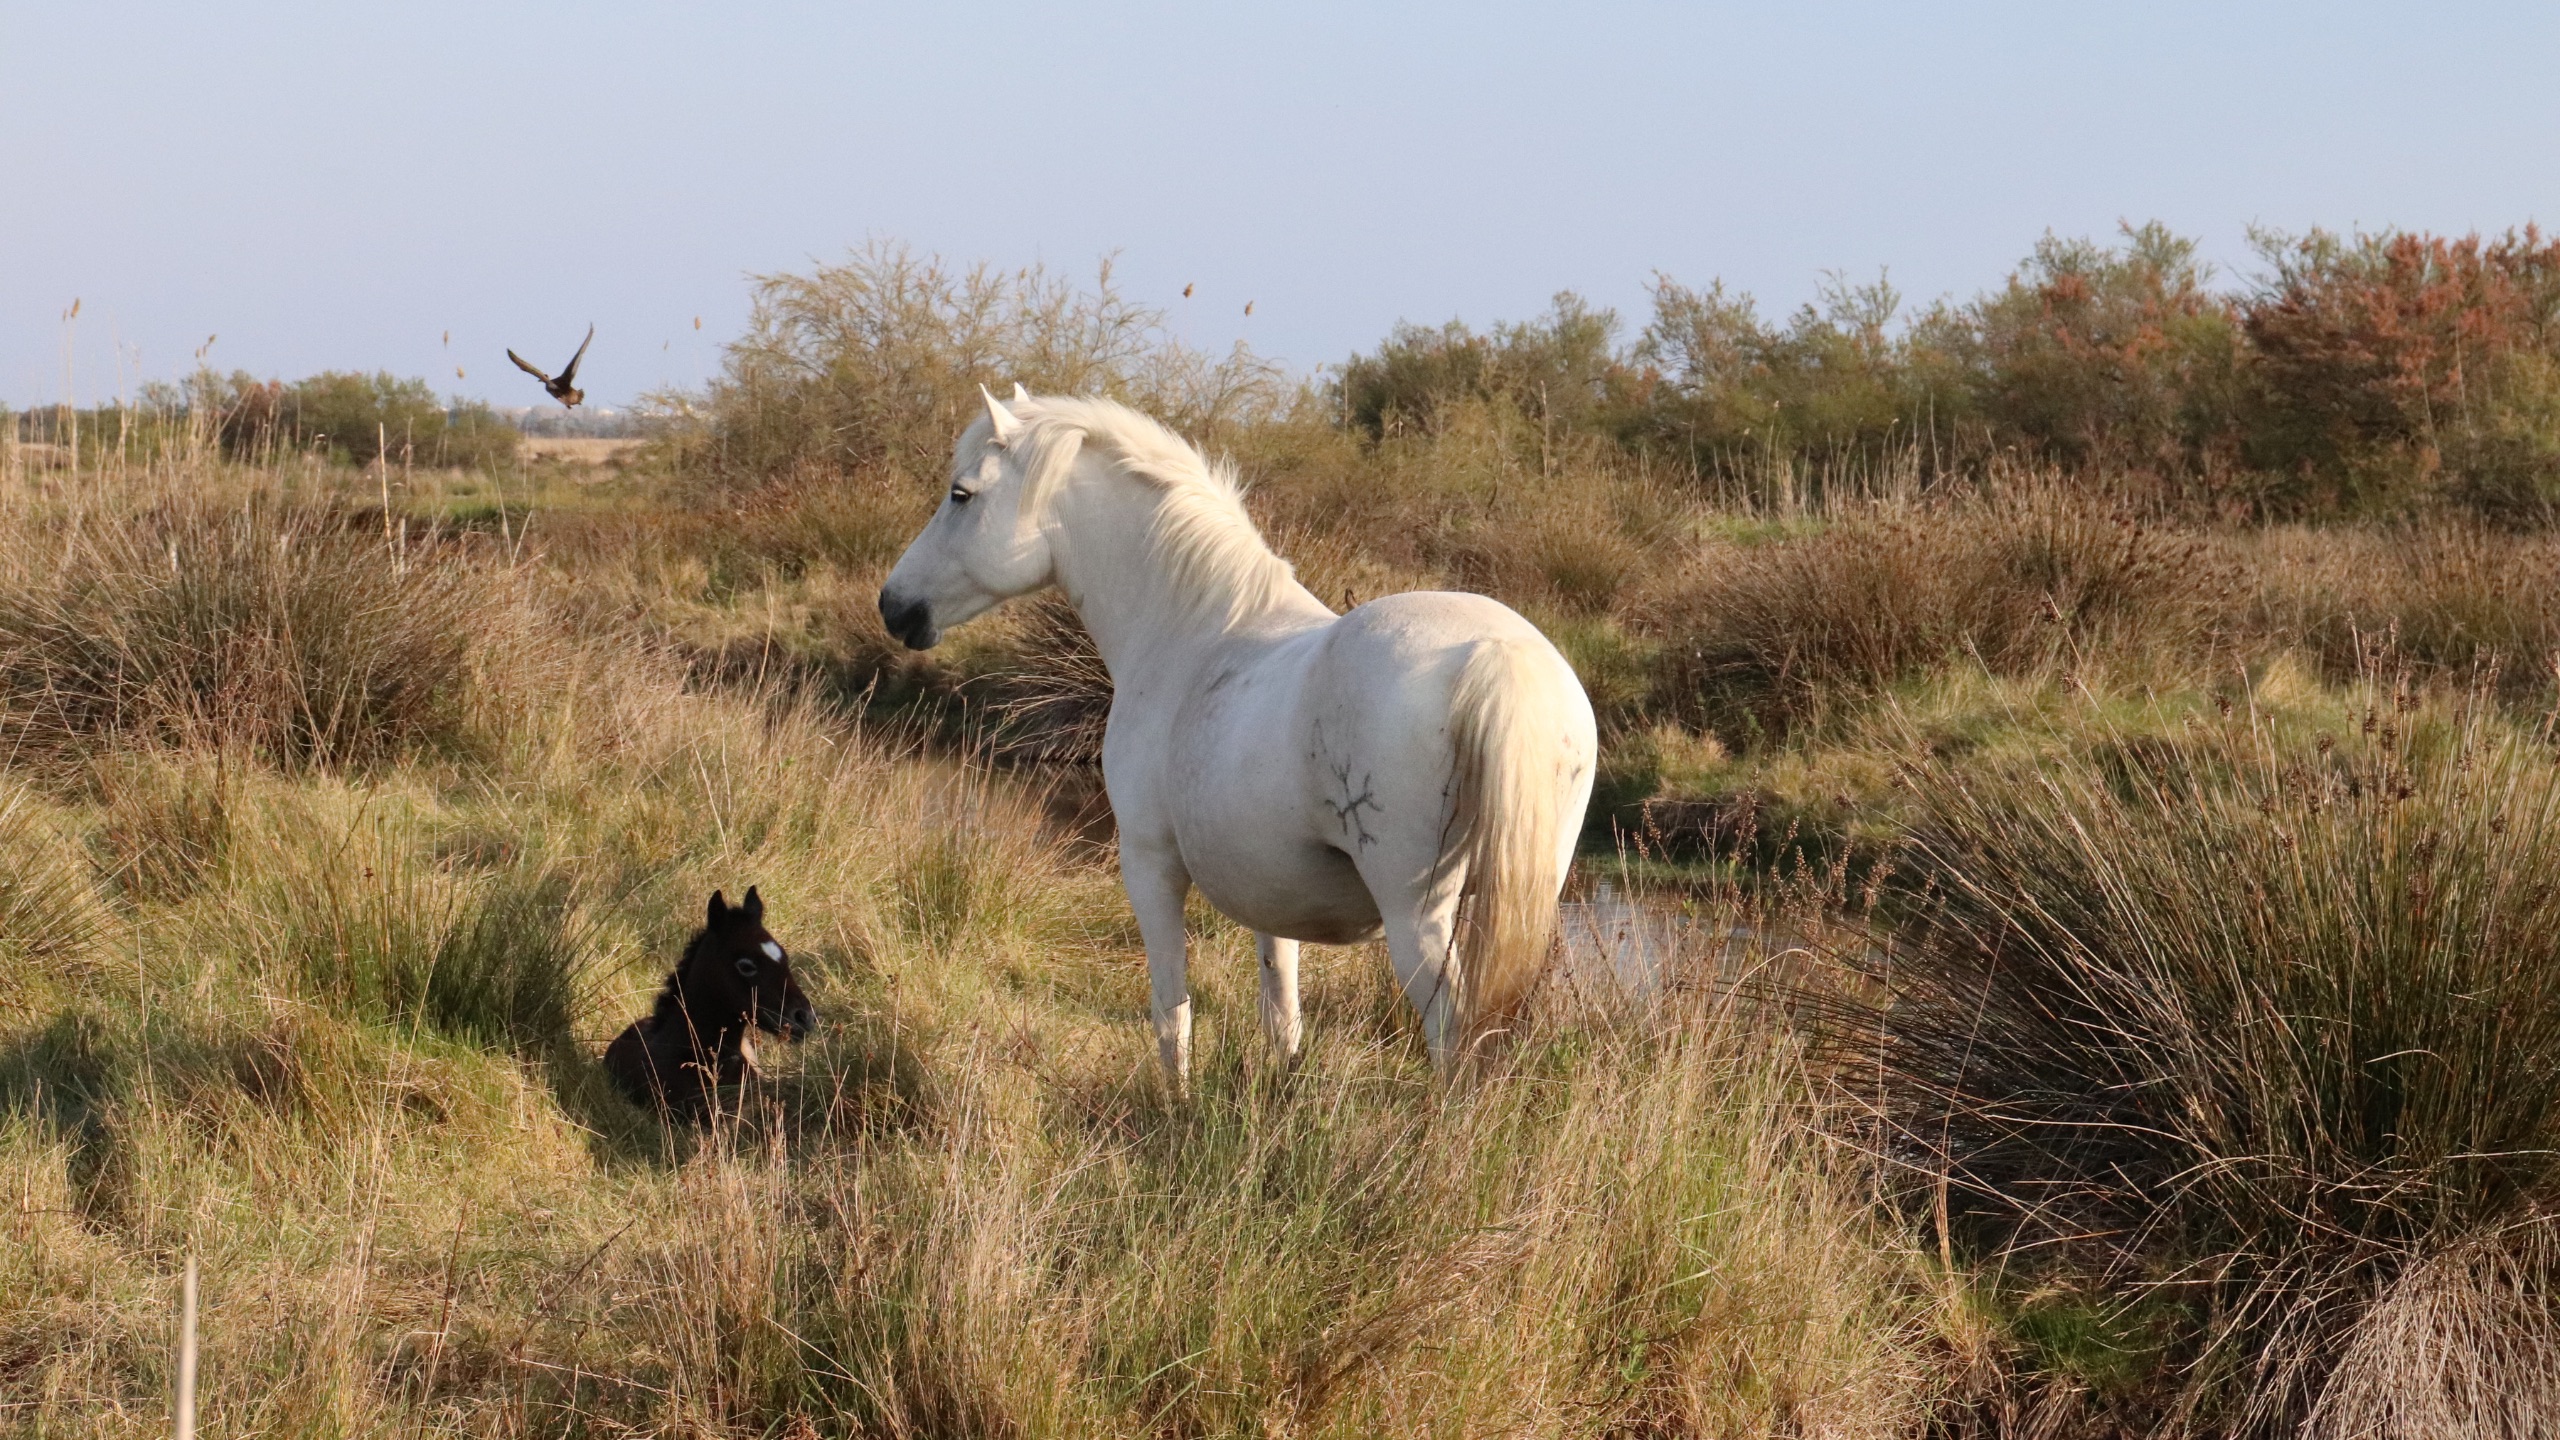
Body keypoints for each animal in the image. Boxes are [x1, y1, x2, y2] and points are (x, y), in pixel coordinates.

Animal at [885, 386, 1597, 1081]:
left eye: (961, 493)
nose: (894, 607)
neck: (1197, 633)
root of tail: (1498, 654)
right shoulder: (1271, 898)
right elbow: (1281, 1011)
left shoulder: (1149, 866)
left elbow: (1172, 1013)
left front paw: (1176, 1103)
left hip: (1418, 917)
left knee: (1451, 1037)